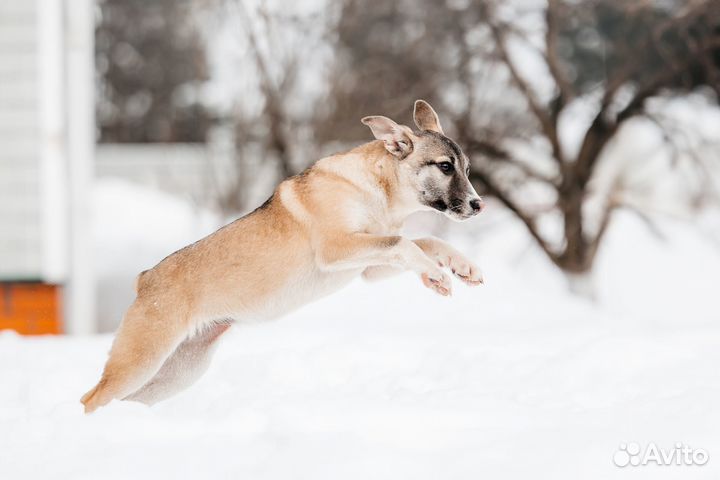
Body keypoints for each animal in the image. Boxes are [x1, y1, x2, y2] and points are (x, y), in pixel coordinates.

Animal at [81, 100, 484, 412]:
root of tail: (144, 279)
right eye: (444, 166)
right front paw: (436, 275)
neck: (378, 190)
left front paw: (459, 266)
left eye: (466, 169)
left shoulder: (367, 265)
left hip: (178, 370)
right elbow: (404, 244)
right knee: (91, 399)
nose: (478, 205)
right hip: (142, 359)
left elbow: (423, 241)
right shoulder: (336, 248)